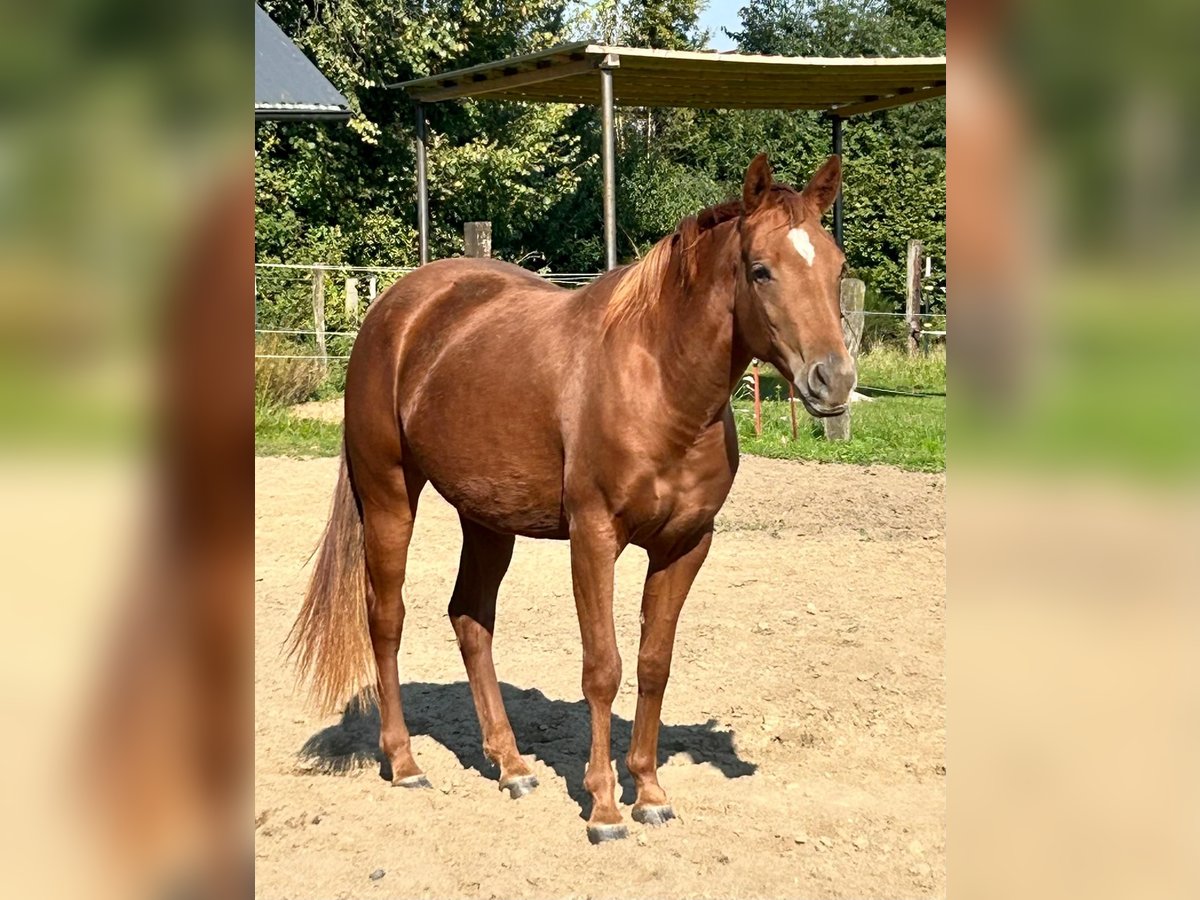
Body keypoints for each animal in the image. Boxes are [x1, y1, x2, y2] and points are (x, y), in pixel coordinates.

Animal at [288, 157, 854, 844]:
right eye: (760, 269)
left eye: (837, 266)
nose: (833, 379)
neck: (658, 382)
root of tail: (395, 308)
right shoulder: (593, 538)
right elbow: (602, 667)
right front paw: (605, 808)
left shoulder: (686, 545)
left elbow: (654, 663)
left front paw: (650, 792)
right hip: (390, 496)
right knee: (386, 618)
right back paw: (405, 763)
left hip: (487, 519)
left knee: (470, 618)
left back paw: (511, 766)